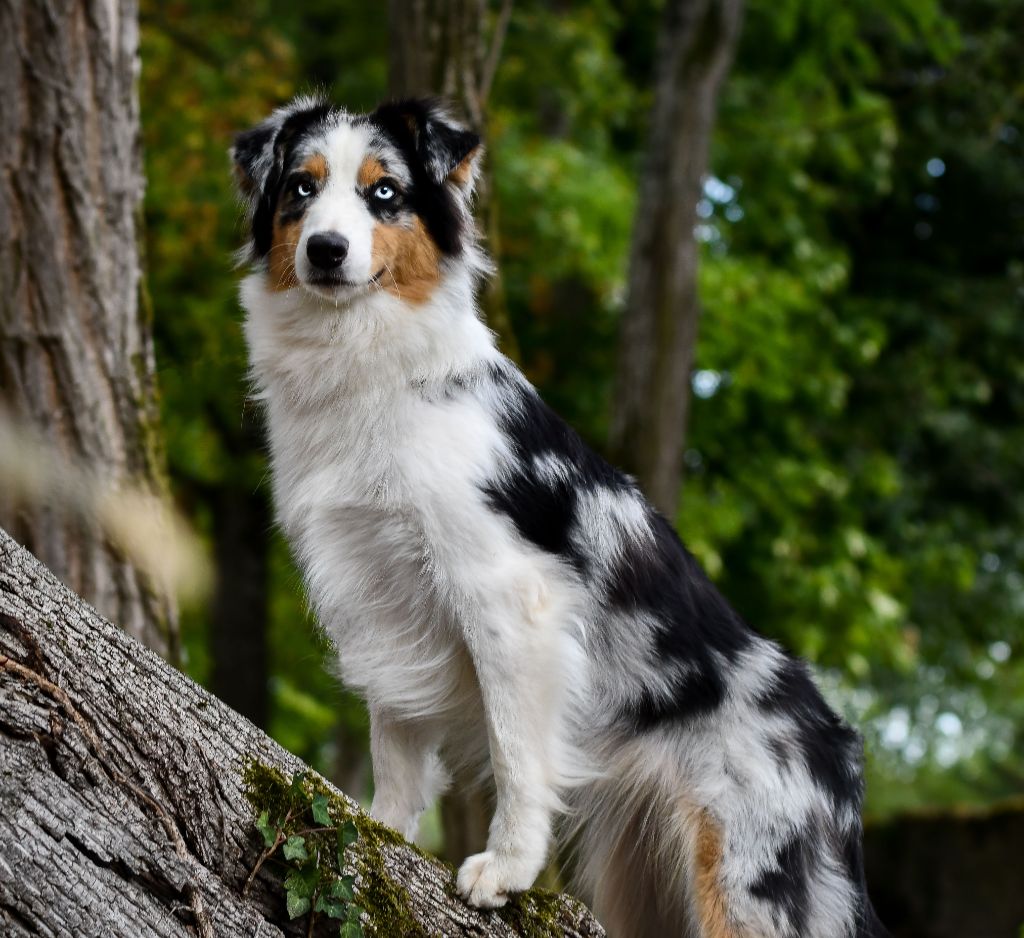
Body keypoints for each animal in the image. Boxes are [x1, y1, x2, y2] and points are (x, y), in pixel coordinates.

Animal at [234, 93, 888, 938]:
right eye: (301, 189)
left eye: (385, 193)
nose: (326, 250)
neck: (370, 361)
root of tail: (838, 753)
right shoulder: (383, 598)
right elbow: (397, 747)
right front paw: (381, 836)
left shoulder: (509, 598)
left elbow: (517, 751)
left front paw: (506, 869)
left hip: (746, 882)